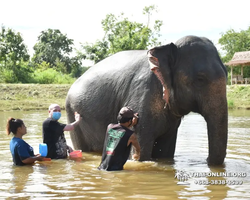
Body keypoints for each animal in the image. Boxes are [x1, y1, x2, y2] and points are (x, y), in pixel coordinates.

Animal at [65, 35, 228, 166]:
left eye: (227, 75)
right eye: (200, 79)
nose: (206, 161)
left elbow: (165, 152)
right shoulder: (142, 93)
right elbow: (141, 151)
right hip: (72, 113)